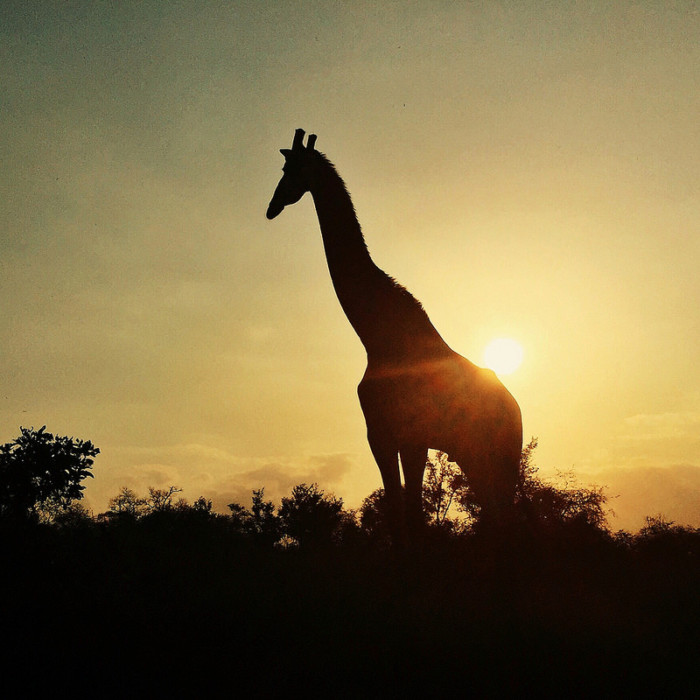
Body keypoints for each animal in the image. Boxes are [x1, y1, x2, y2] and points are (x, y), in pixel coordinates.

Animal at [268, 127, 524, 540]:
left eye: (289, 169)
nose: (271, 207)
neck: (377, 338)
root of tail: (518, 411)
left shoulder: (387, 434)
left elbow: (405, 519)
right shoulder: (402, 437)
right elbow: (406, 518)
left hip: (496, 457)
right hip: (478, 457)